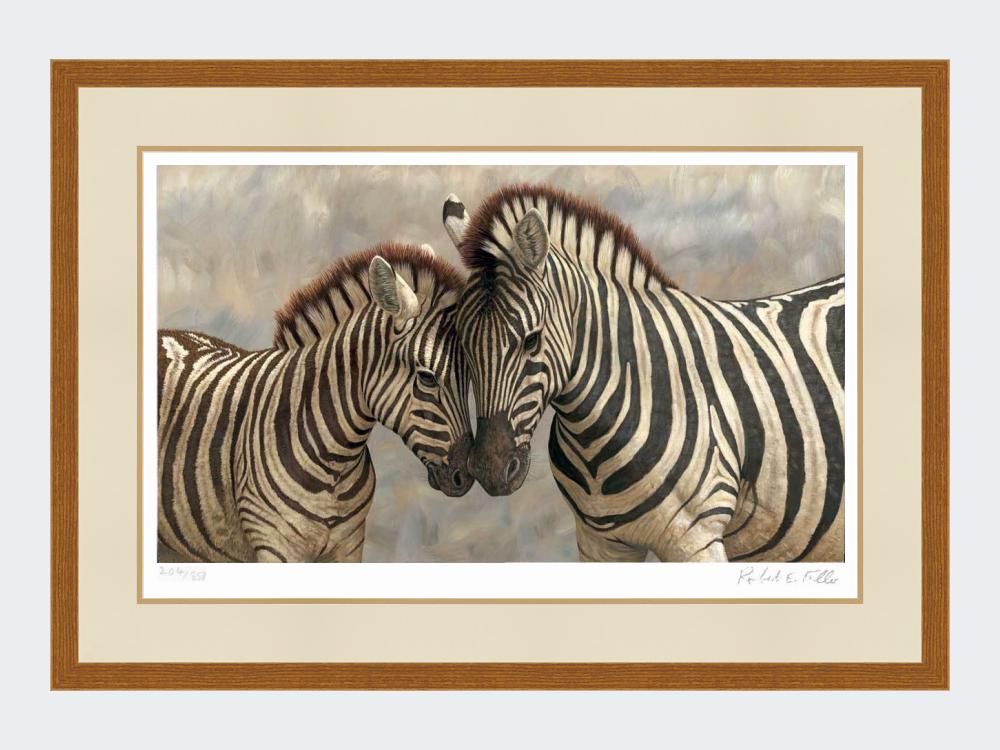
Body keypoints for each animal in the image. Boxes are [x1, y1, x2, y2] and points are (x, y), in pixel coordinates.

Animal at [158, 243, 473, 563]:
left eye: (471, 377)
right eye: (427, 377)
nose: (465, 477)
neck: (336, 463)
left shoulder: (349, 546)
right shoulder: (276, 546)